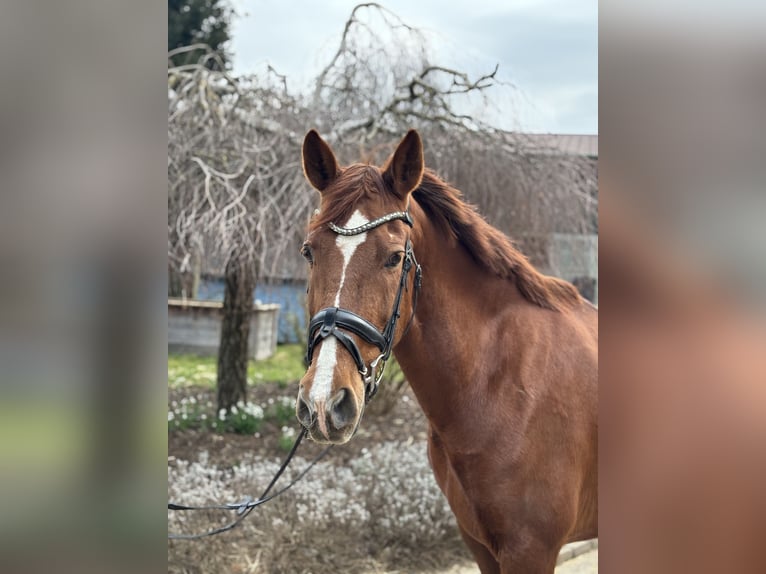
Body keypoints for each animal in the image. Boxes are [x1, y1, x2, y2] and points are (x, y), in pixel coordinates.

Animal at [294, 128, 600, 572]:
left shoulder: (531, 550)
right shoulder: (480, 544)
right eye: (309, 251)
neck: (500, 382)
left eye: (395, 258)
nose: (322, 402)